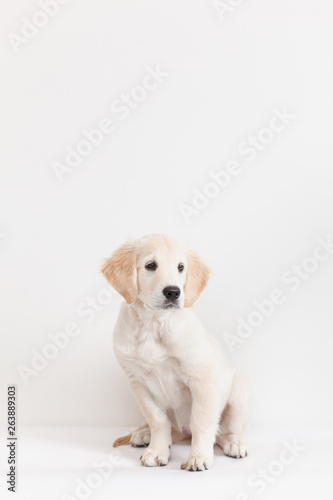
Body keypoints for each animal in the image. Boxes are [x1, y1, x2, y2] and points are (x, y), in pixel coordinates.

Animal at [102, 232, 252, 470]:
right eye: (150, 265)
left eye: (181, 267)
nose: (173, 292)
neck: (154, 324)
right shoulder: (138, 382)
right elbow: (157, 420)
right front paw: (157, 450)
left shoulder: (201, 378)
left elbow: (201, 422)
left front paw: (198, 457)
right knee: (172, 430)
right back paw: (143, 434)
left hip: (240, 389)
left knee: (224, 431)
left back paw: (234, 443)